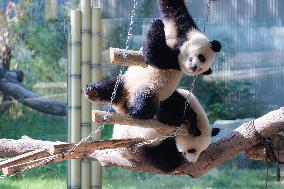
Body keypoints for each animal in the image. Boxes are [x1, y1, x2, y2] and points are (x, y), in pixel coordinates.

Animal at [83, 0, 221, 136]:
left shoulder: (174, 62)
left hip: (152, 90)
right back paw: (92, 91)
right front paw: (159, 22)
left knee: (146, 99)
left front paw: (156, 25)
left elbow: (154, 55)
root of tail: (124, 104)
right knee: (109, 87)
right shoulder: (184, 28)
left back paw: (136, 112)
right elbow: (173, 7)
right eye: (201, 58)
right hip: (125, 83)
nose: (193, 68)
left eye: (201, 68)